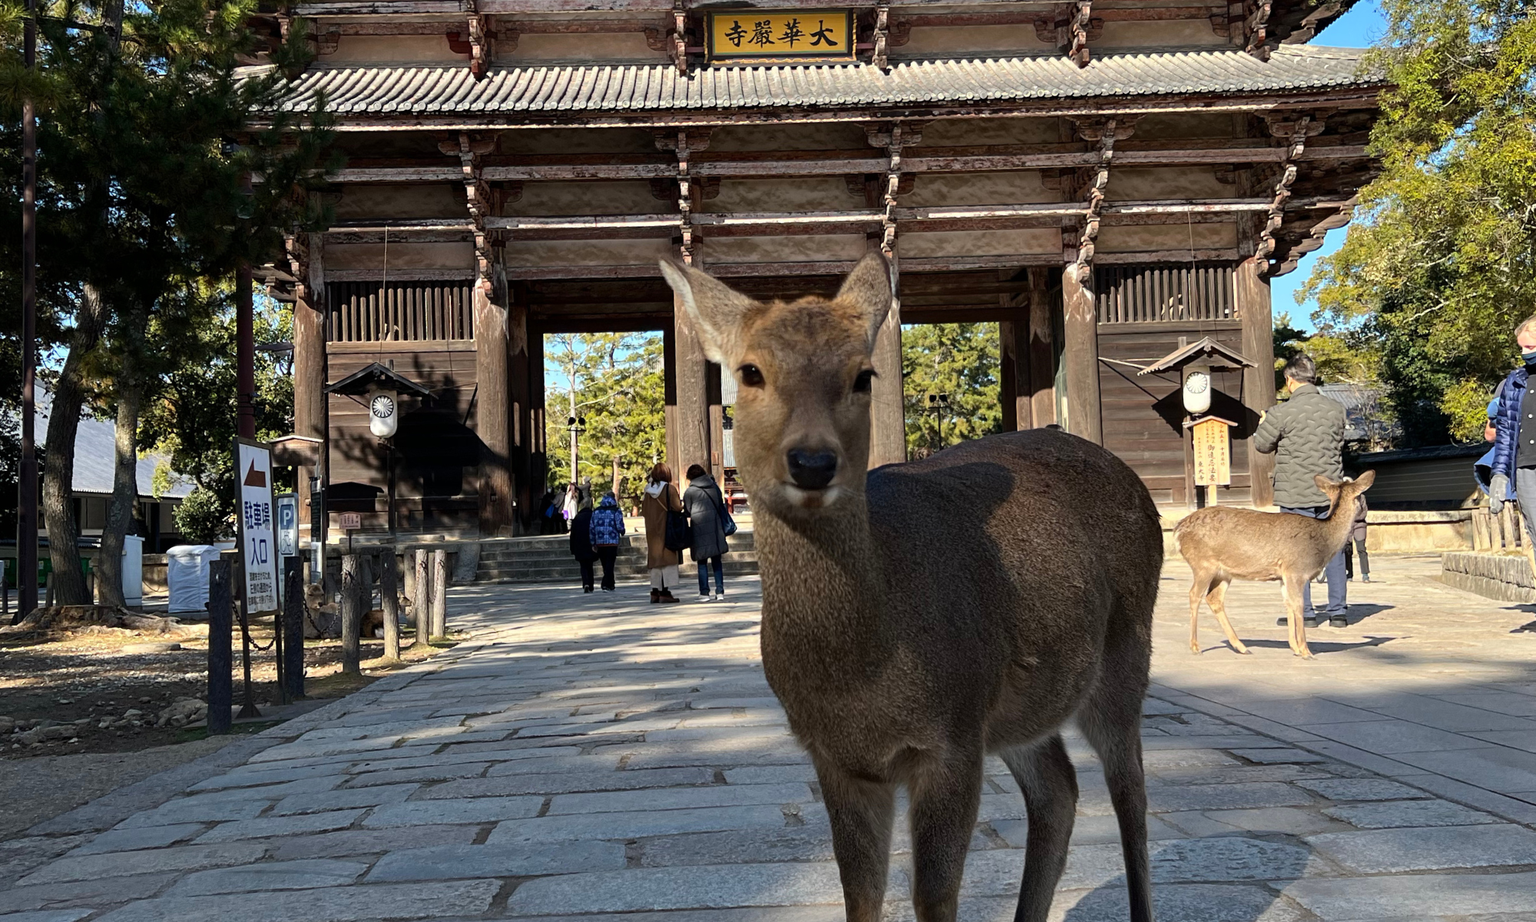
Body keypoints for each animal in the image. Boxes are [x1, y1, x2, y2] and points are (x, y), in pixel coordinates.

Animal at [660, 253, 1163, 922]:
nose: (813, 462)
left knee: (1130, 789)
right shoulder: (837, 757)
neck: (861, 683)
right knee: (1058, 786)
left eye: (863, 374)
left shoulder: (953, 735)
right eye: (750, 372)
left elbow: (934, 895)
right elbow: (860, 892)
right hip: (1021, 705)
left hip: (1127, 645)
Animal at [1174, 471, 1375, 659]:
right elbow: (1298, 604)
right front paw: (1306, 651)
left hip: (1223, 572)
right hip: (1203, 563)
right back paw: (1196, 647)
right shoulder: (1296, 570)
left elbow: (1288, 604)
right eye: (1360, 496)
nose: (1364, 510)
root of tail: (1177, 531)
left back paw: (1241, 647)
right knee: (1194, 594)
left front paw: (1294, 648)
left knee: (1214, 598)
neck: (1322, 542)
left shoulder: (1283, 575)